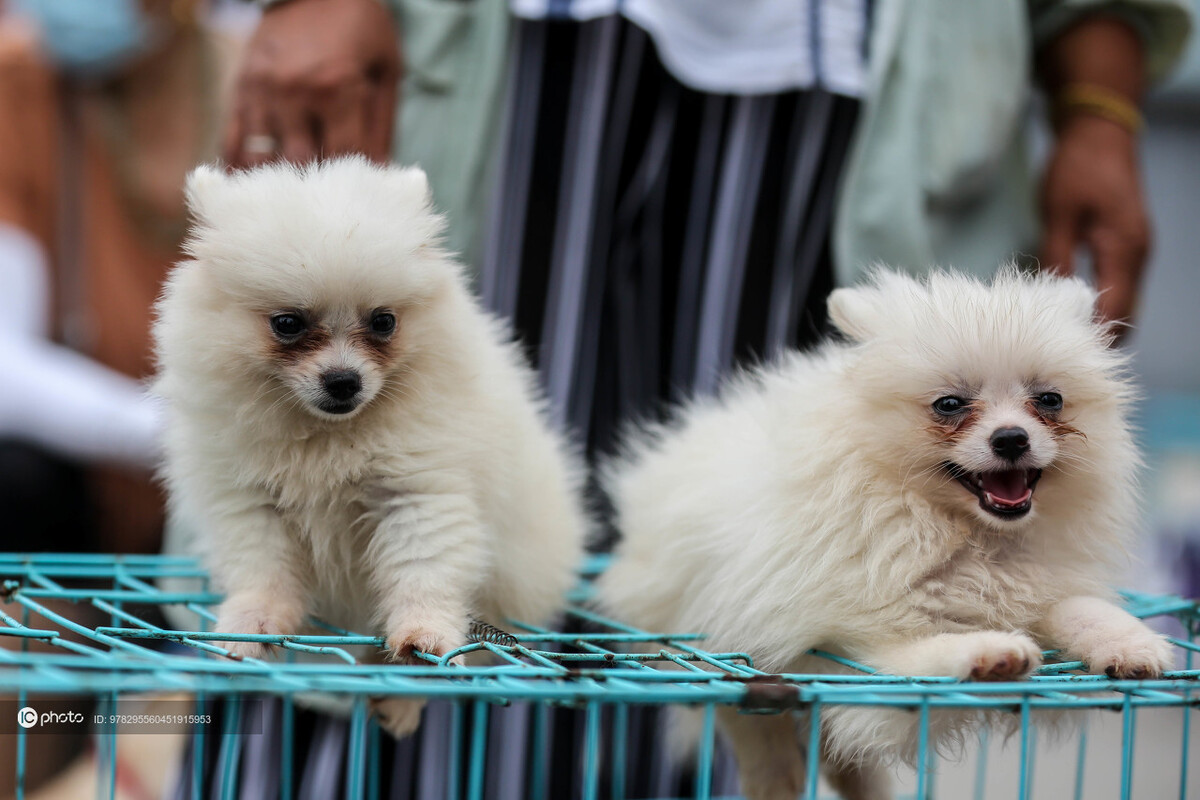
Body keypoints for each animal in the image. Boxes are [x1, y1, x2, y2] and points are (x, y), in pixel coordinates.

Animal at [157, 155, 588, 738]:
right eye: (287, 324)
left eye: (383, 322)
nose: (344, 381)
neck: (326, 436)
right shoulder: (248, 500)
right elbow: (263, 569)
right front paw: (251, 623)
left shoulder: (418, 492)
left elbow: (424, 568)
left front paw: (424, 634)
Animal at [597, 268, 1171, 800]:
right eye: (949, 404)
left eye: (1050, 400)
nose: (1011, 438)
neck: (968, 536)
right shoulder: (851, 639)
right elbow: (912, 658)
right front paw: (988, 654)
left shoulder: (1033, 583)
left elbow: (1080, 607)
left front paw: (1129, 641)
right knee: (761, 739)